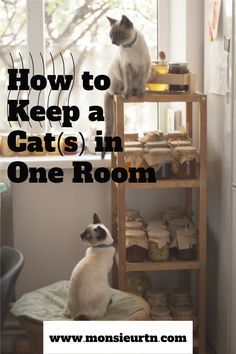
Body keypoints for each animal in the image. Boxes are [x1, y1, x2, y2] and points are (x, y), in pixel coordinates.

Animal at [102, 14, 150, 157]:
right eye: (111, 35)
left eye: (118, 34)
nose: (113, 42)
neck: (129, 47)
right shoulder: (126, 67)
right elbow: (128, 83)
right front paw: (127, 94)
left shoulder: (144, 67)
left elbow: (141, 83)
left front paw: (141, 93)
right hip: (116, 69)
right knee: (115, 91)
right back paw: (123, 93)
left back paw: (136, 92)